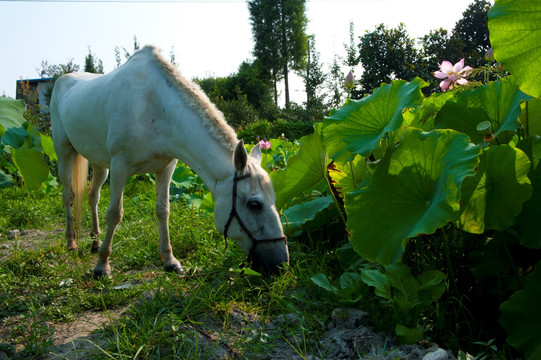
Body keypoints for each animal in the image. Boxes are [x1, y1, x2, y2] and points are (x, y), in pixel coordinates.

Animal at [49, 45, 286, 276]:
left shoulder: (166, 167)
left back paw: (95, 241)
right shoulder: (120, 166)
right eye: (254, 204)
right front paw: (102, 266)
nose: (282, 263)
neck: (153, 106)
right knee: (69, 195)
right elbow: (115, 214)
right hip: (65, 153)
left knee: (93, 195)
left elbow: (163, 210)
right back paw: (72, 242)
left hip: (99, 163)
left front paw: (170, 261)